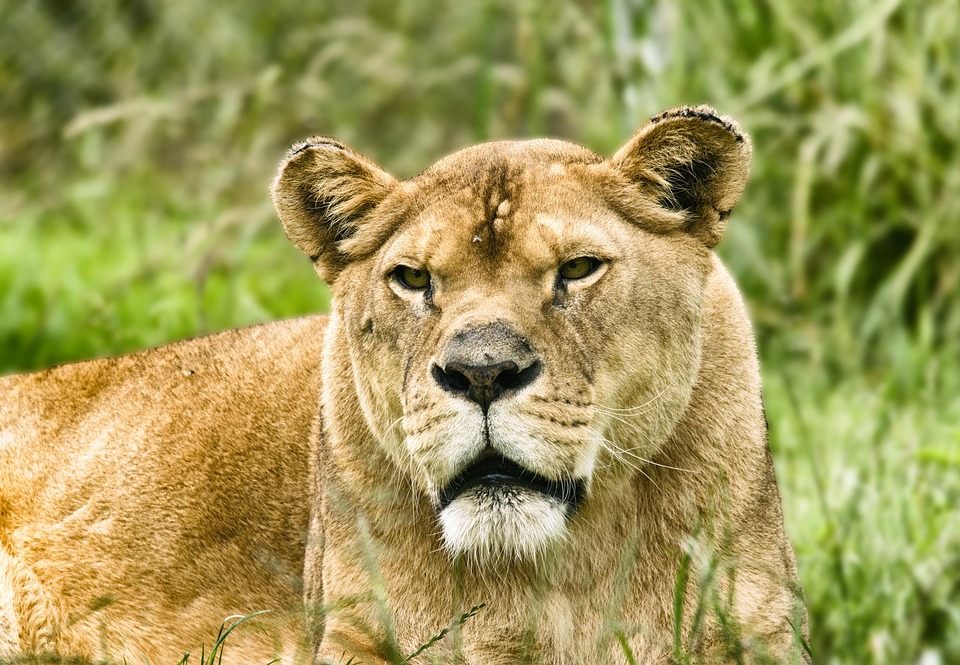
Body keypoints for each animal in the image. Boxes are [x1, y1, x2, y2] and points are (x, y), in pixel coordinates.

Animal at [1, 106, 807, 664]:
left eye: (578, 269)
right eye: (414, 279)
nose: (482, 372)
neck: (562, 578)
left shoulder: (759, 633)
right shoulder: (353, 636)